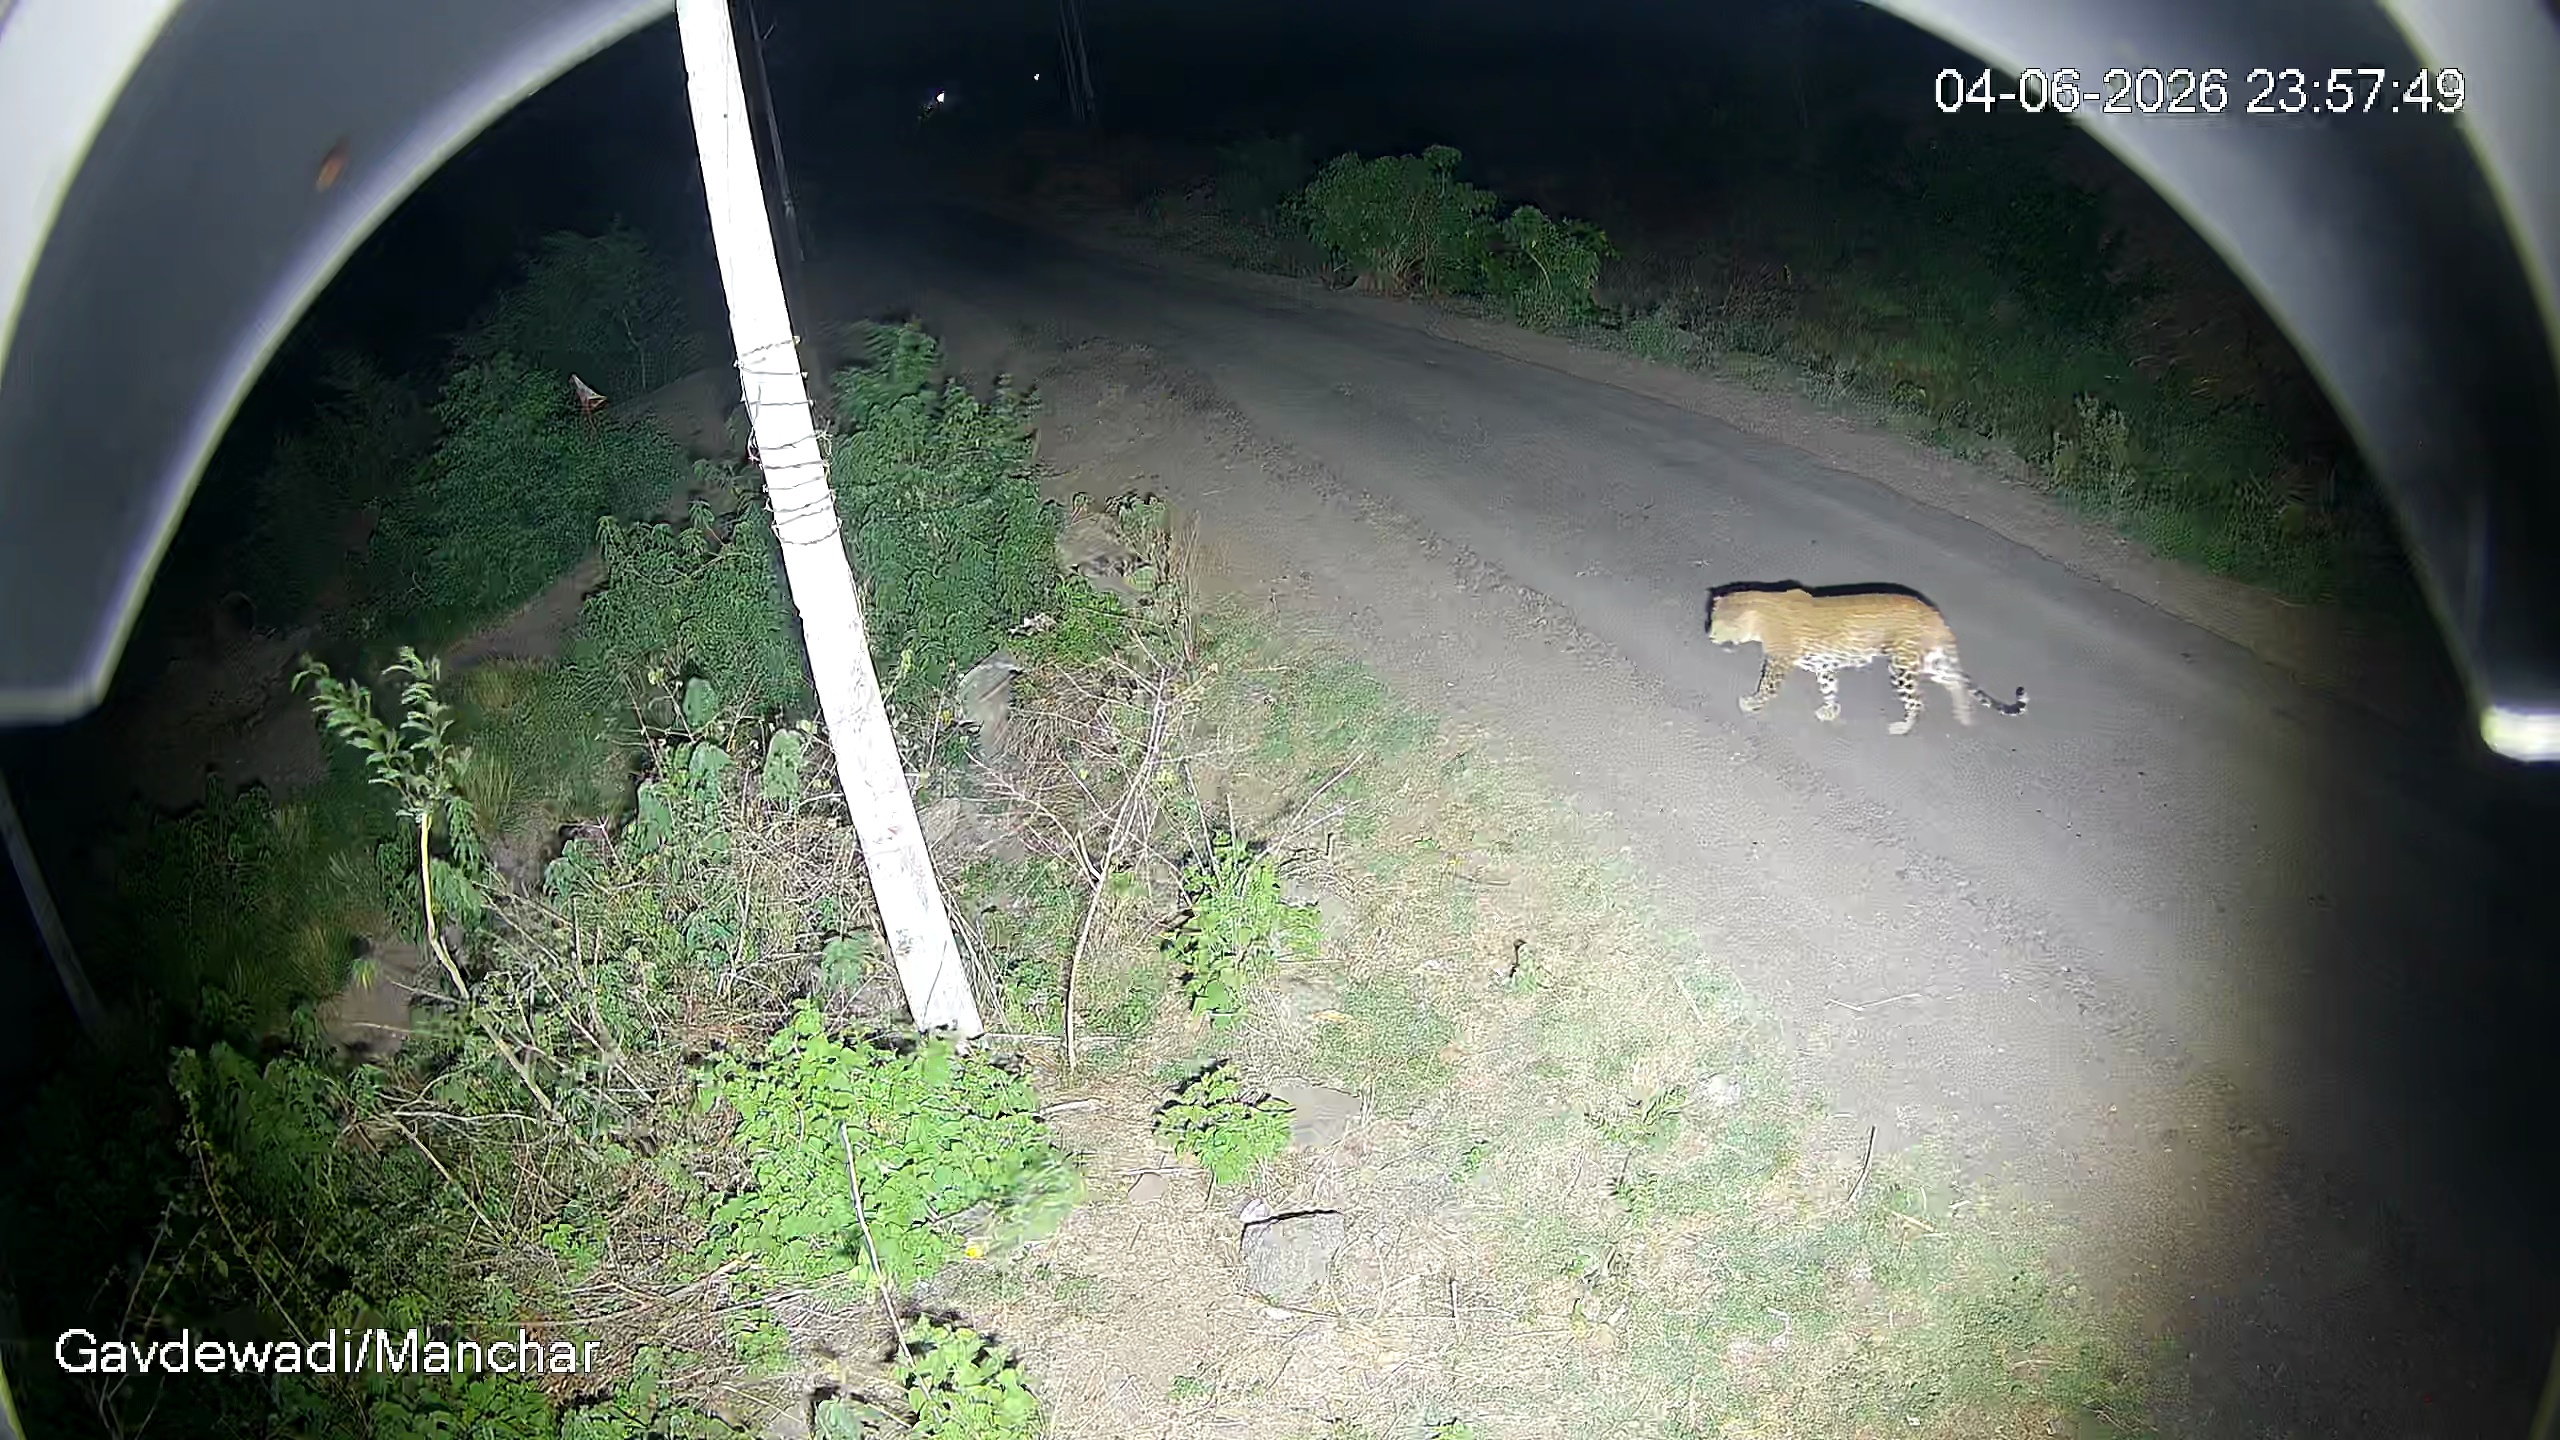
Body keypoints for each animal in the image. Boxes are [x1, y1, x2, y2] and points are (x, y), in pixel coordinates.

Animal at [1704, 584, 2027, 735]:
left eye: (1722, 625)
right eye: (1712, 619)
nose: (1710, 636)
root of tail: (1935, 616)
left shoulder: (1781, 660)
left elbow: (1769, 687)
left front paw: (1751, 704)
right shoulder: (1824, 665)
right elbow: (1830, 688)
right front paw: (1831, 711)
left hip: (1902, 666)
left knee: (1919, 701)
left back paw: (1903, 728)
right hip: (1928, 661)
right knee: (1955, 681)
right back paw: (1964, 714)